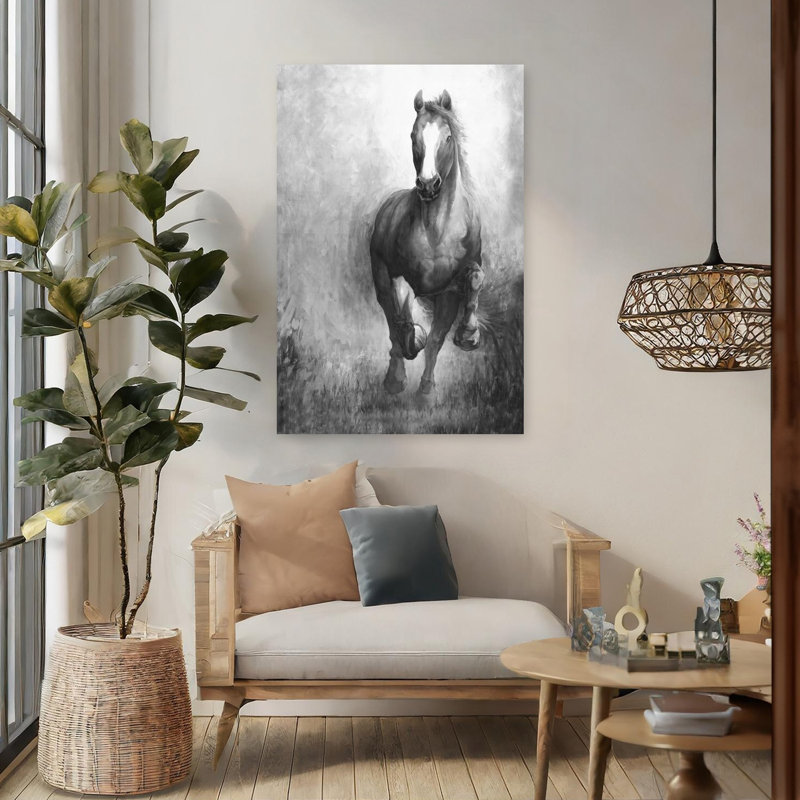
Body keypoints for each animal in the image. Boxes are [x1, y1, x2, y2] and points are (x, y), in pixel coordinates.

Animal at [370, 89, 485, 396]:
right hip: (380, 280)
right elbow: (404, 322)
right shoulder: (399, 278)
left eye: (448, 137)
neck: (437, 231)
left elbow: (437, 338)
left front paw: (467, 336)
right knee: (393, 325)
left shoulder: (450, 292)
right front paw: (415, 340)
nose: (428, 185)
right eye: (413, 135)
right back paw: (395, 379)